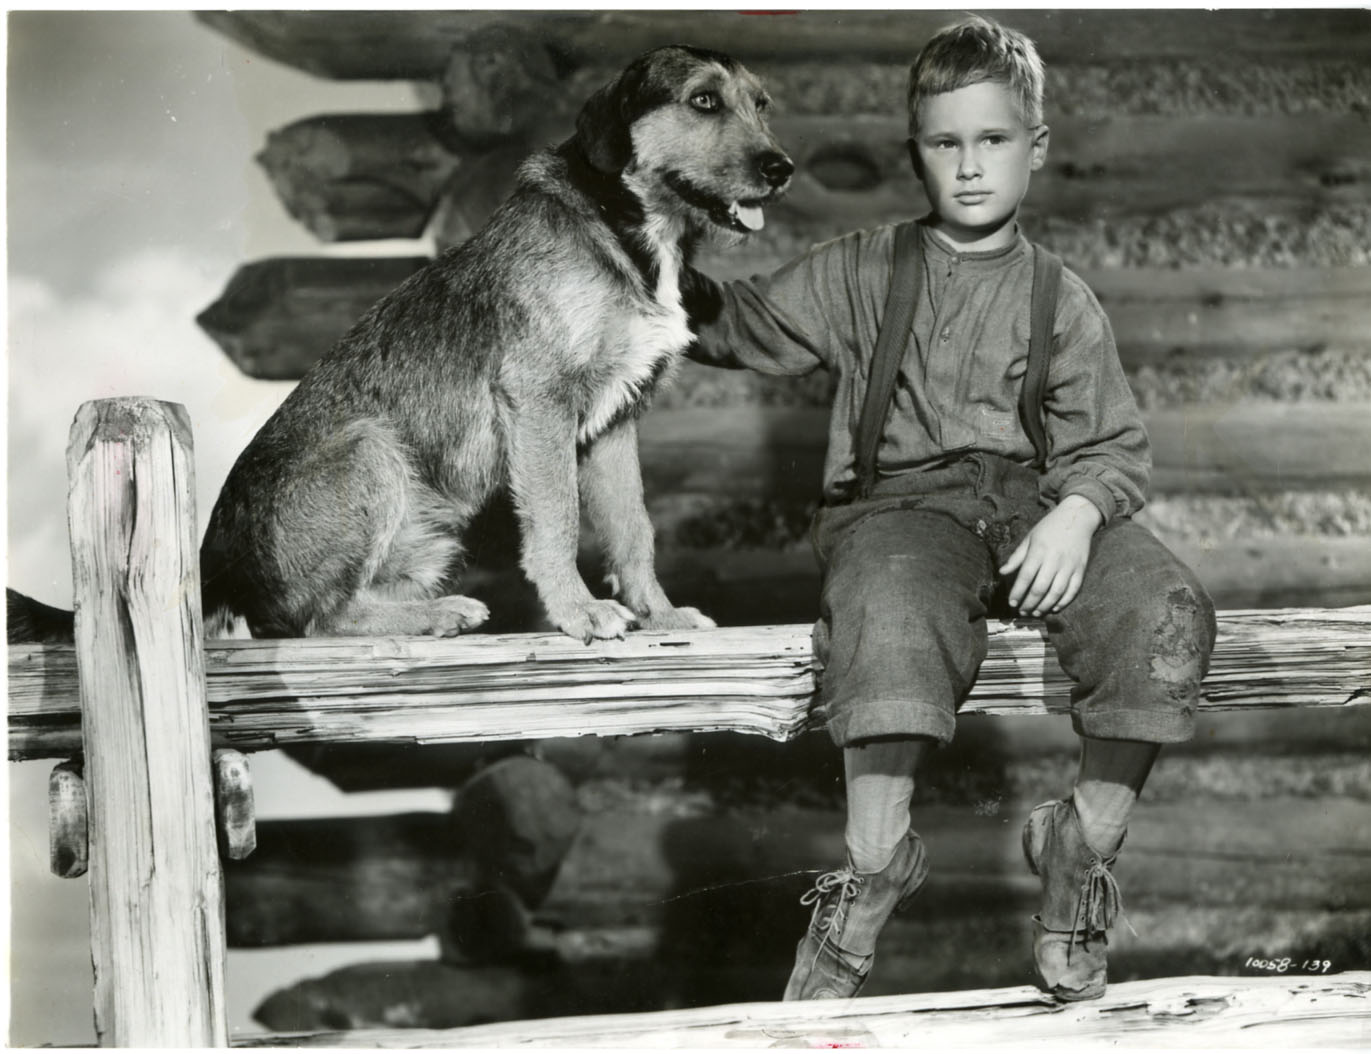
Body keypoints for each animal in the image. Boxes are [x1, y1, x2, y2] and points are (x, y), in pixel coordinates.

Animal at [194, 45, 793, 643]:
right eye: (703, 100)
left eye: (762, 104)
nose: (781, 169)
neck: (626, 230)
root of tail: (221, 569)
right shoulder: (540, 401)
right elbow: (558, 518)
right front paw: (579, 611)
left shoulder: (618, 421)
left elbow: (634, 529)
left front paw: (660, 615)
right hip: (371, 449)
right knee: (321, 618)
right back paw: (439, 614)